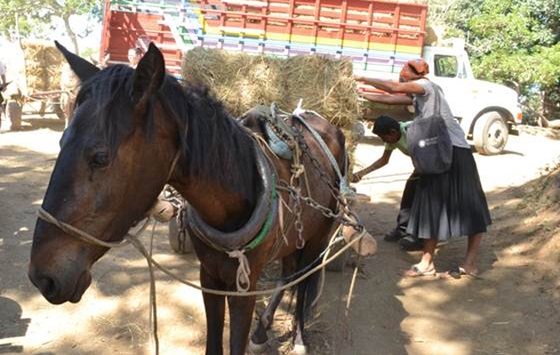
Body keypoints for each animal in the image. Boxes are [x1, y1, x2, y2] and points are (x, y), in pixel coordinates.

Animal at [29, 42, 350, 355]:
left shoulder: (243, 289)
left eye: (100, 157)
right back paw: (263, 329)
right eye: (61, 141)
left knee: (304, 280)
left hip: (318, 237)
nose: (42, 277)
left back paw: (299, 338)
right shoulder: (210, 277)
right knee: (288, 274)